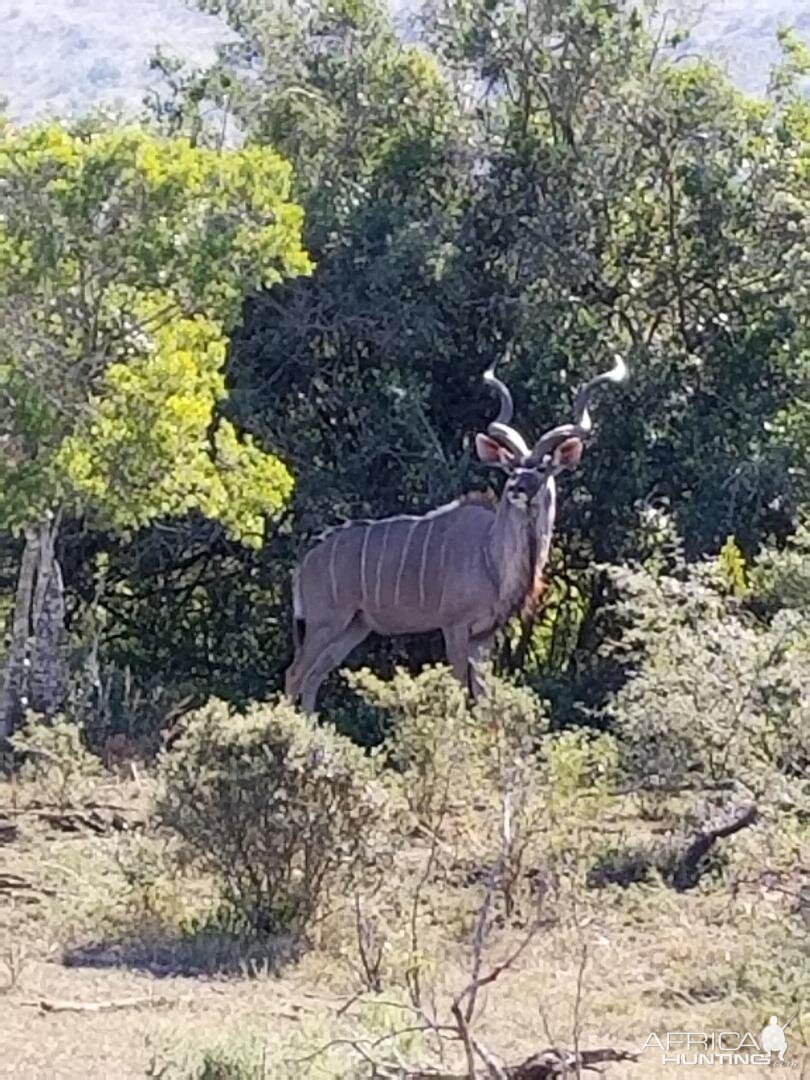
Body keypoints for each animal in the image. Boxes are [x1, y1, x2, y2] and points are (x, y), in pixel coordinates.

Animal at [285, 354, 626, 712]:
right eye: (510, 467)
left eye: (543, 468)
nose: (517, 488)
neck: (490, 556)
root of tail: (304, 562)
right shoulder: (454, 627)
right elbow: (461, 688)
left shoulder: (484, 636)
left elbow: (483, 693)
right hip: (326, 621)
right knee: (296, 674)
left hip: (354, 626)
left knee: (314, 676)